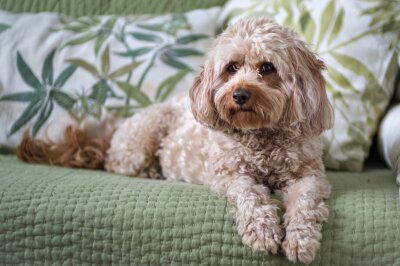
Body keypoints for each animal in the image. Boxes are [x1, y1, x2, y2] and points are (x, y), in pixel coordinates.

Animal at [16, 18, 334, 264]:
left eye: (267, 67)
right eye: (231, 68)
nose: (240, 94)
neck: (261, 136)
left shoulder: (310, 176)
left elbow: (304, 203)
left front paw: (301, 241)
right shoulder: (227, 174)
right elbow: (251, 196)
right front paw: (263, 231)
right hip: (143, 136)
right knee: (115, 163)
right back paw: (150, 171)